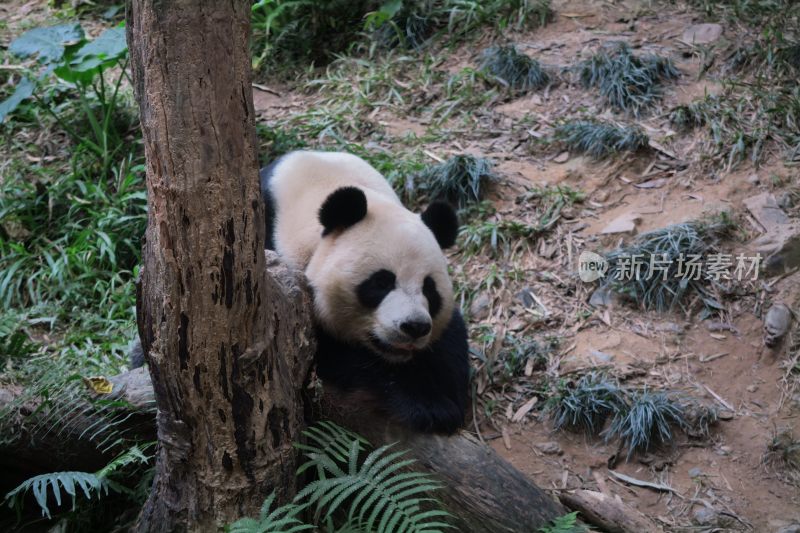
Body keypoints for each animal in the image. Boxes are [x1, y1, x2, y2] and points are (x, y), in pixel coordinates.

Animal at [260, 150, 472, 432]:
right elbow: (337, 356)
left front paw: (443, 397)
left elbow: (450, 337)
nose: (414, 326)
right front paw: (426, 405)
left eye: (429, 288)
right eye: (381, 283)